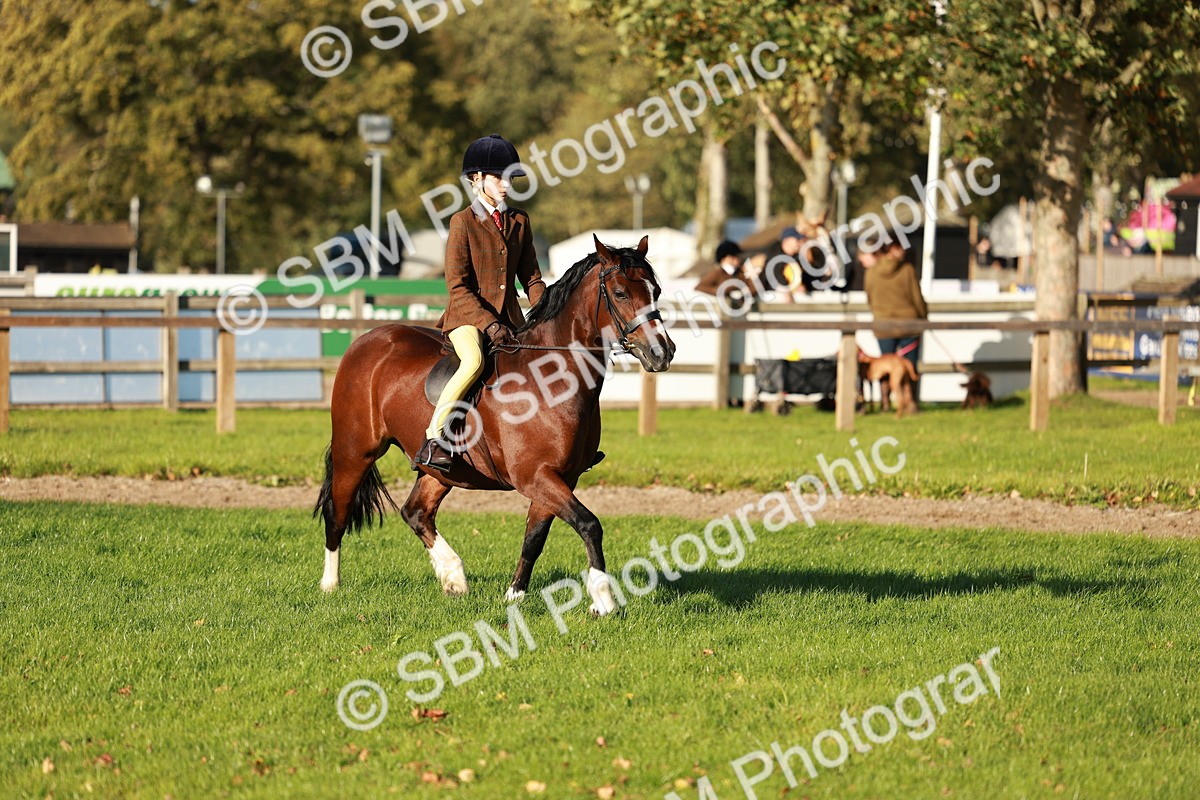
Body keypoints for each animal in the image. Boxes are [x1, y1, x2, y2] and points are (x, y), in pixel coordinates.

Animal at [314, 235, 675, 616]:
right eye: (620, 293)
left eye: (655, 290)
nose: (662, 352)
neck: (552, 378)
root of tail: (367, 340)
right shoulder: (535, 476)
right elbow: (589, 524)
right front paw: (603, 599)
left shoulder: (560, 477)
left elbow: (535, 537)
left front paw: (515, 594)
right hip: (356, 450)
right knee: (337, 512)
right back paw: (330, 585)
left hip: (442, 470)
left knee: (416, 512)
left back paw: (454, 578)